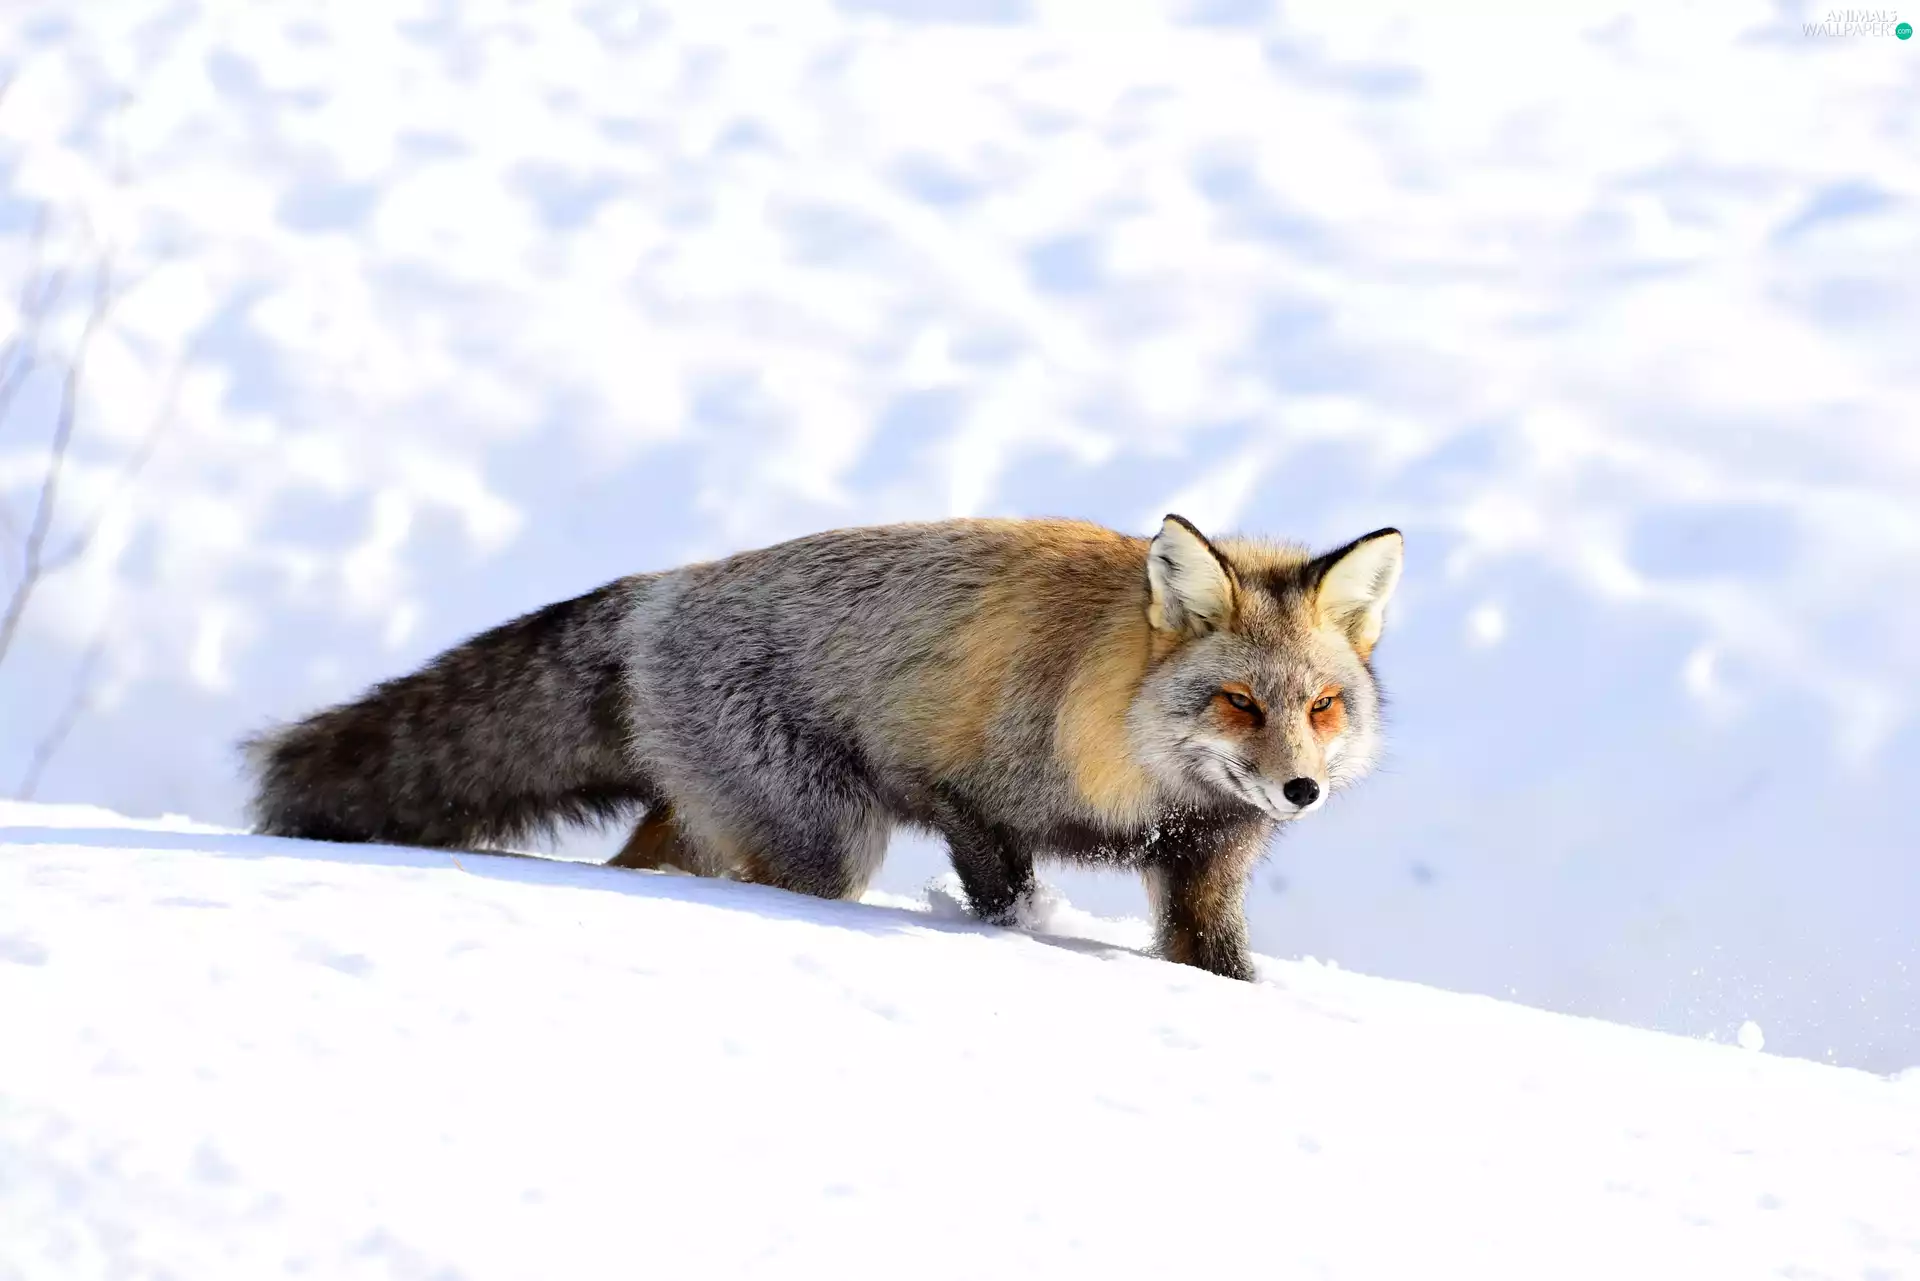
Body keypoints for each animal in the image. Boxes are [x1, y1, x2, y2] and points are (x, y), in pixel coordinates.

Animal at [243, 515, 1403, 981]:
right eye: (1240, 702)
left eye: (1322, 707)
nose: (1299, 790)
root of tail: (660, 590)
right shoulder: (961, 792)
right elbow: (1004, 899)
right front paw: (1016, 940)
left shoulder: (1205, 857)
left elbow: (1215, 964)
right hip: (824, 840)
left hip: (712, 823)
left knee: (641, 861)